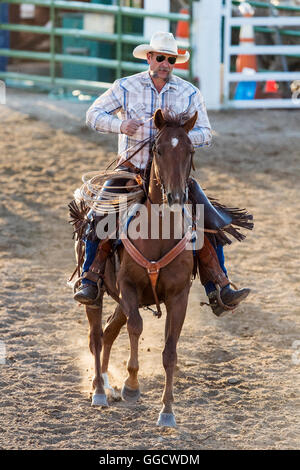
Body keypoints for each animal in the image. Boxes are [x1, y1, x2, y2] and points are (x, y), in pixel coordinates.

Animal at [83, 109, 198, 426]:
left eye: (191, 150)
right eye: (158, 149)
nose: (176, 198)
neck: (157, 233)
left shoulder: (178, 297)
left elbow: (170, 351)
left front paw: (167, 410)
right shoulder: (129, 287)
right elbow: (136, 327)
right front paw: (132, 385)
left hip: (120, 300)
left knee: (109, 331)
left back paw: (105, 383)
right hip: (98, 295)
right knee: (96, 336)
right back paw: (99, 391)